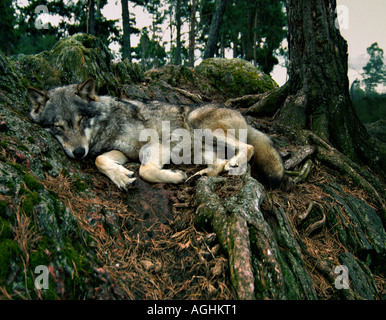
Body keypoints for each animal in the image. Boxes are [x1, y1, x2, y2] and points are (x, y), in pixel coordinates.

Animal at [27, 79, 284, 190]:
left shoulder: (154, 146)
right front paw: (121, 177)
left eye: (81, 121)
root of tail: (242, 115)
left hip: (201, 127)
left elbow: (146, 171)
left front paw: (174, 177)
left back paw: (232, 164)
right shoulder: (122, 153)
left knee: (248, 148)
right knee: (219, 162)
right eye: (58, 127)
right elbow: (100, 160)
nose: (79, 152)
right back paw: (200, 175)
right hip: (198, 151)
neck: (108, 122)